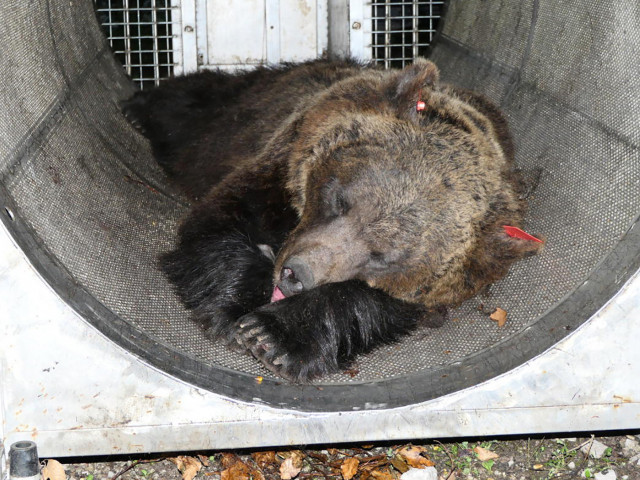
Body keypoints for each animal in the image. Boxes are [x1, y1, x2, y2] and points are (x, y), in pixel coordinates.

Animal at [122, 58, 544, 380]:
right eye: (340, 200)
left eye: (381, 256)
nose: (295, 274)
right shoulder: (276, 166)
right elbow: (222, 222)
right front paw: (234, 308)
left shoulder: (448, 279)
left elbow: (368, 303)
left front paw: (271, 335)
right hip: (234, 116)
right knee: (195, 105)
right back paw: (138, 106)